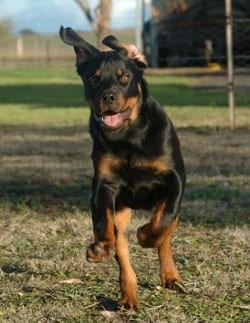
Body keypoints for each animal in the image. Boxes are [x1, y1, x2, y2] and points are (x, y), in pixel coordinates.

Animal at [59, 26, 185, 312]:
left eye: (125, 77)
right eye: (93, 79)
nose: (108, 96)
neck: (128, 136)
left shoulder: (175, 179)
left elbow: (164, 220)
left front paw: (146, 235)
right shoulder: (104, 184)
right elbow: (103, 220)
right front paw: (101, 247)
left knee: (167, 233)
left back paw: (170, 276)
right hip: (123, 210)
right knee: (123, 253)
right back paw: (128, 296)